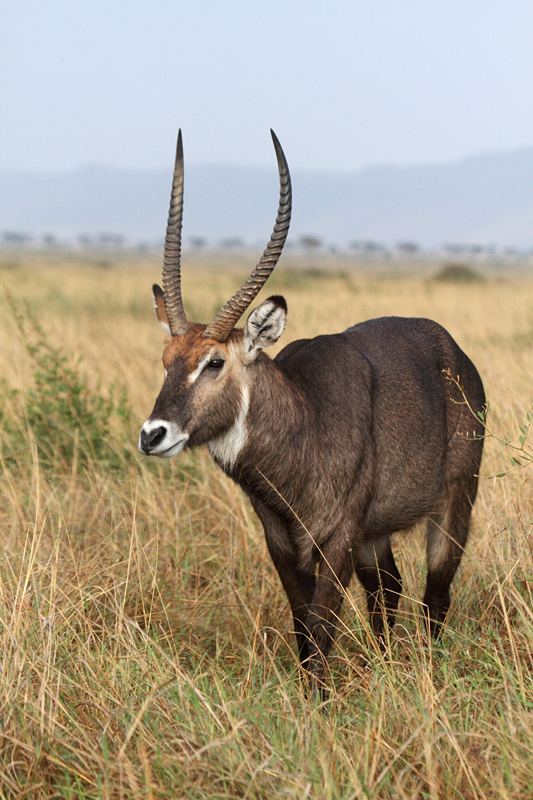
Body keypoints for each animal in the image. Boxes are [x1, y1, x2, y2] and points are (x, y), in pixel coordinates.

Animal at [138, 131, 486, 692]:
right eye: (167, 359)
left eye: (214, 362)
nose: (153, 434)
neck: (305, 420)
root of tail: (452, 350)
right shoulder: (281, 541)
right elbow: (303, 629)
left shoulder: (337, 539)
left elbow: (321, 631)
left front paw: (320, 704)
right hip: (376, 533)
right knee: (388, 591)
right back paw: (384, 666)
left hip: (455, 503)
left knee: (435, 595)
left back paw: (426, 672)